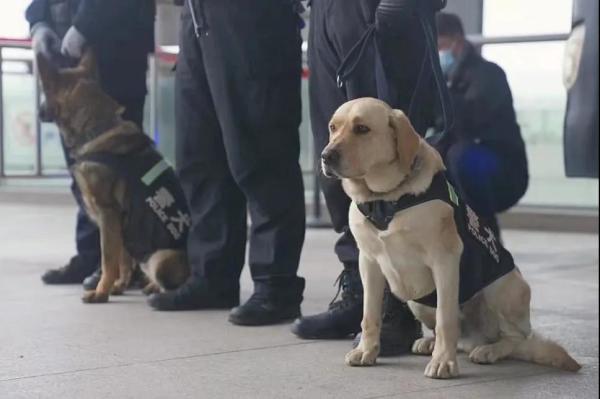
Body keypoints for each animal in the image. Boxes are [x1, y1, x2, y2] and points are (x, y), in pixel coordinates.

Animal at [37, 50, 190, 304]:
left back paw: (158, 291)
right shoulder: (122, 225)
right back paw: (148, 285)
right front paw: (117, 286)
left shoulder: (108, 215)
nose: (38, 113)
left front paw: (101, 292)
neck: (97, 128)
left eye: (44, 89)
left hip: (160, 258)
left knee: (172, 282)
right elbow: (122, 261)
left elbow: (108, 260)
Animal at [324, 98, 580, 380]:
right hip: (417, 301)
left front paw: (443, 363)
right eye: (333, 127)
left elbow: (446, 321)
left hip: (505, 288)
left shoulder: (444, 260)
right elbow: (369, 315)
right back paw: (432, 343)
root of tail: (476, 337)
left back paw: (489, 350)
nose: (326, 156)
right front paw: (367, 351)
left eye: (362, 129)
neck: (385, 199)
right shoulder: (369, 263)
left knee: (514, 338)